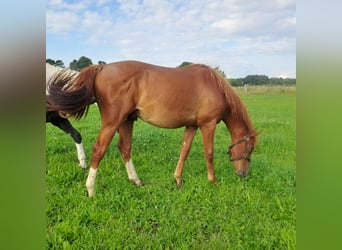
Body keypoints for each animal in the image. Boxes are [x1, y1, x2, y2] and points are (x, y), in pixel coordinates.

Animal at [46, 60, 260, 197]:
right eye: (250, 149)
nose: (243, 174)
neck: (214, 87)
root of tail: (102, 67)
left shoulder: (191, 125)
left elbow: (184, 151)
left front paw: (178, 179)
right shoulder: (207, 125)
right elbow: (209, 153)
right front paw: (212, 181)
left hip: (126, 121)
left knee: (124, 148)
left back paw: (136, 180)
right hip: (113, 121)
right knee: (99, 149)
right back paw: (91, 189)